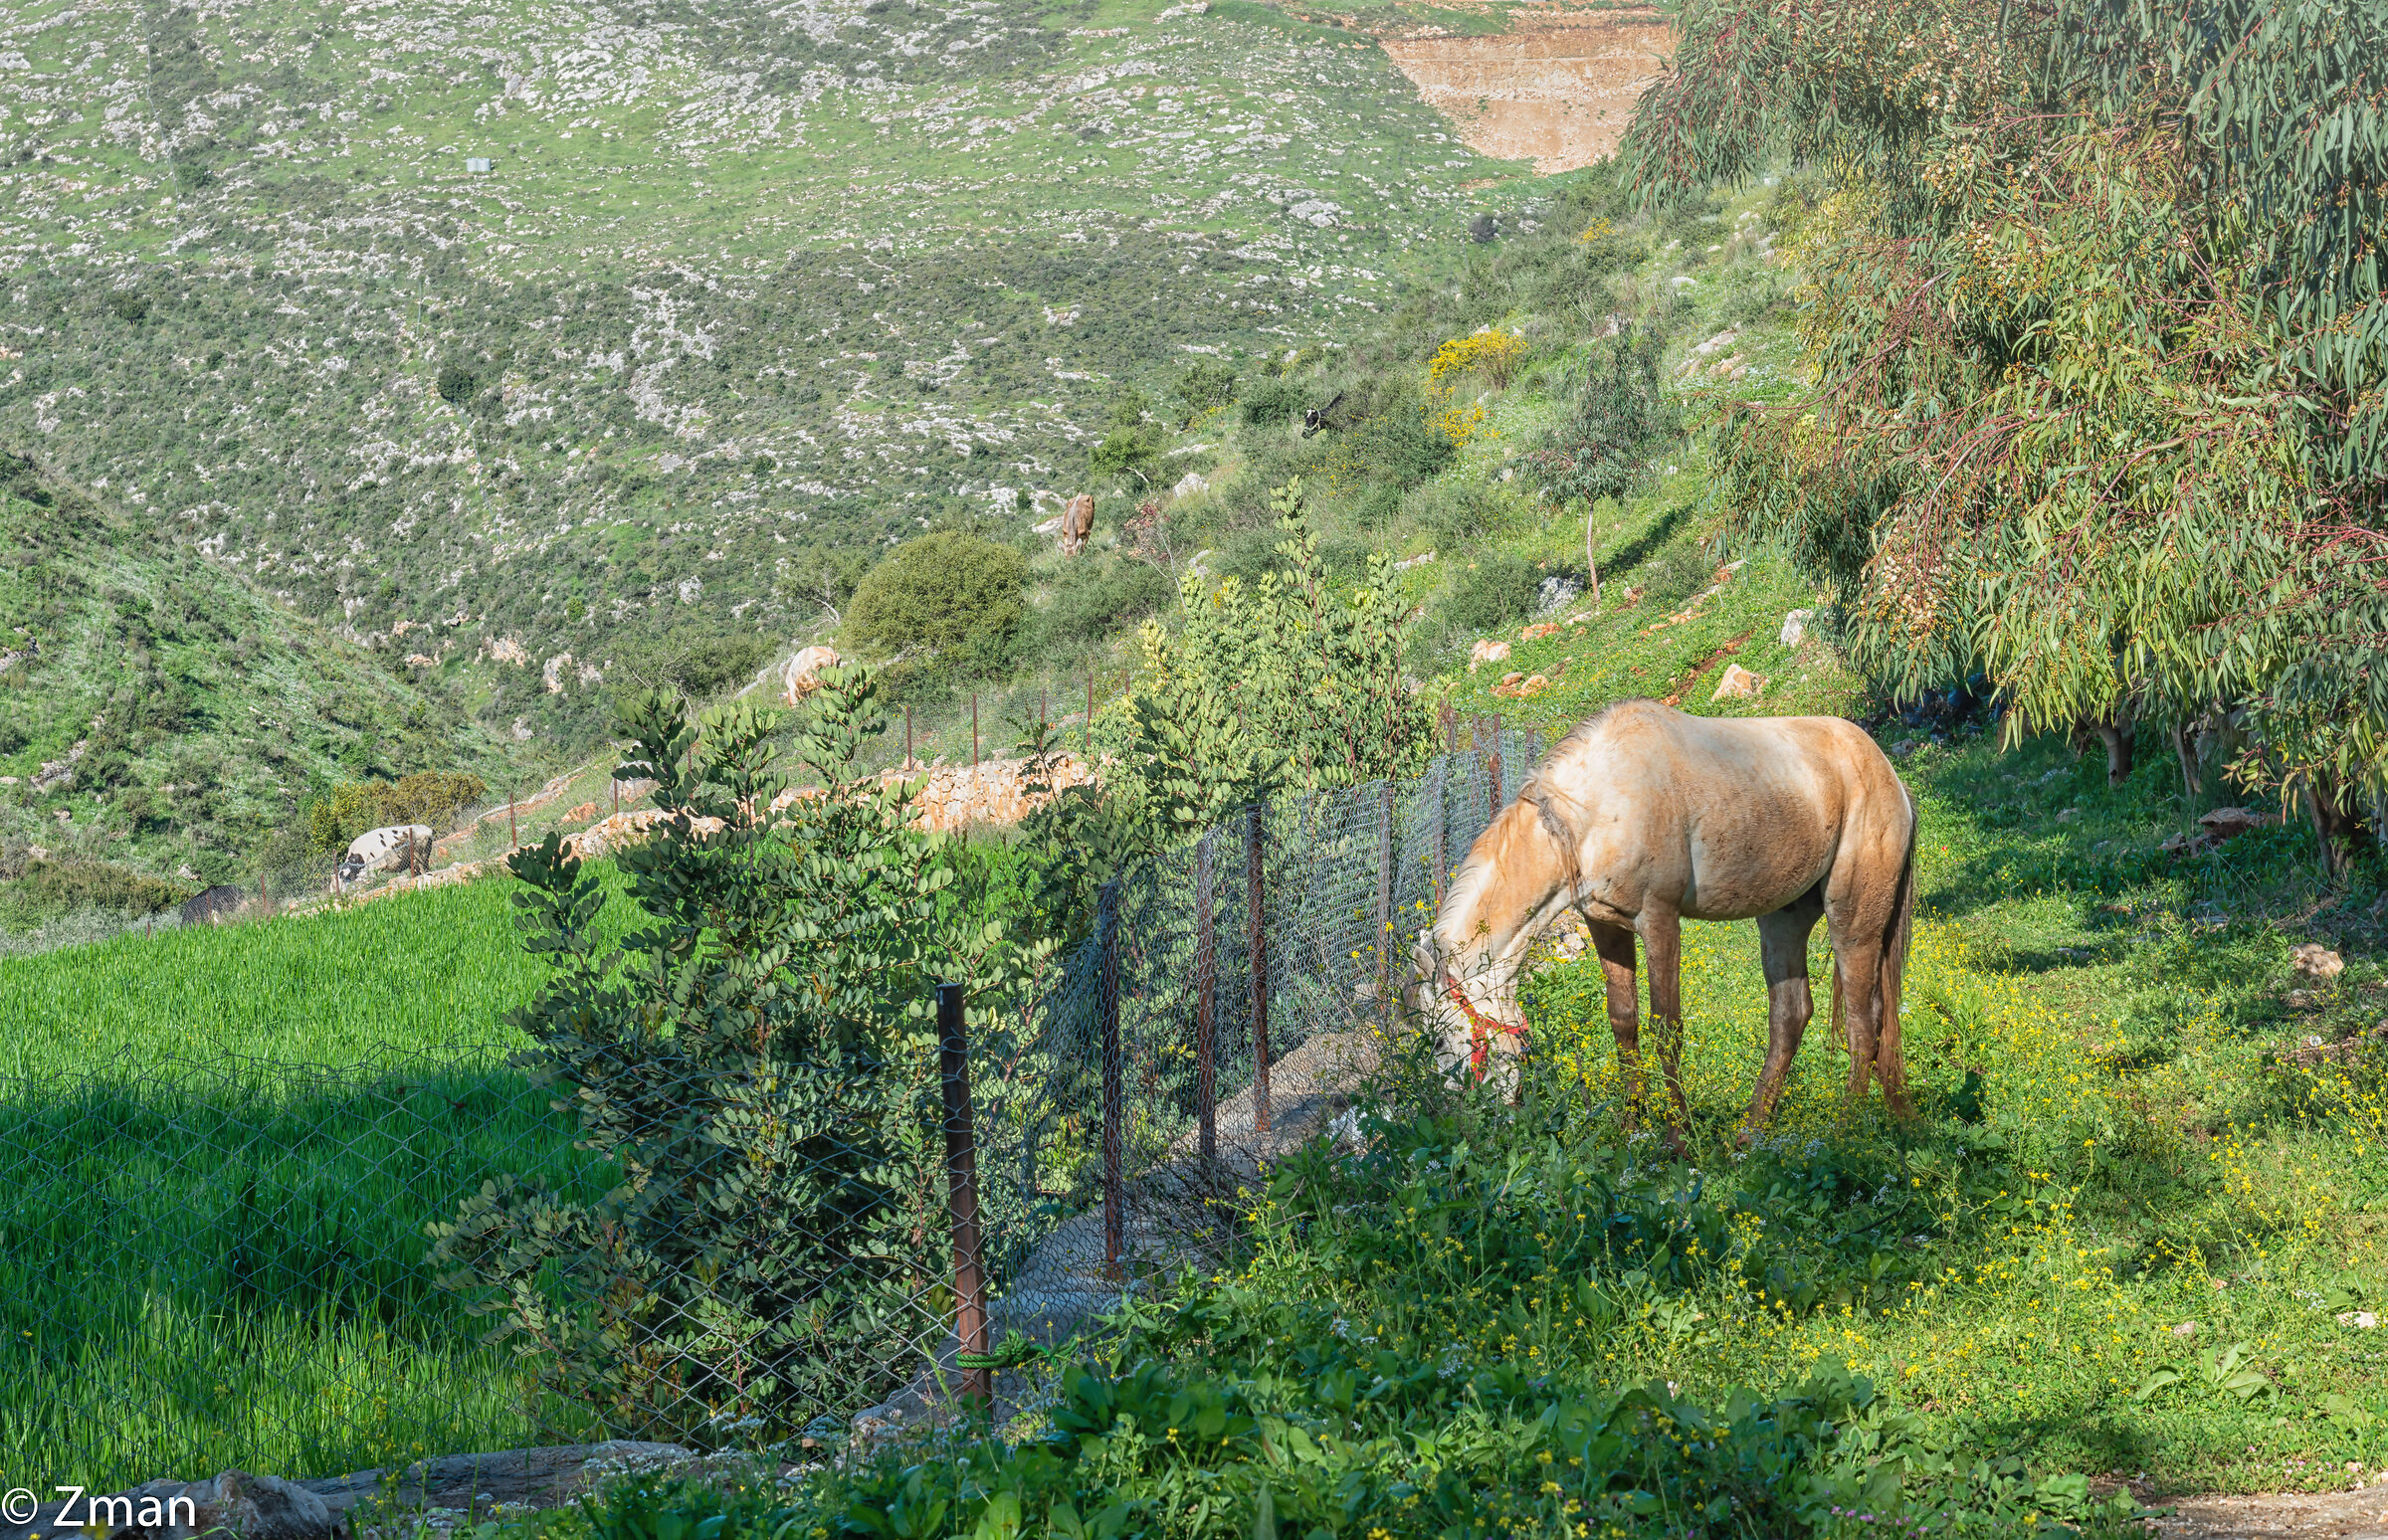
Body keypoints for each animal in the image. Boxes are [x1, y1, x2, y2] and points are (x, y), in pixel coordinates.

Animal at [1408, 699, 1917, 1147]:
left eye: (1442, 1042)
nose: (1458, 1123)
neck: (1594, 811)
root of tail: (1889, 774)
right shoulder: (1606, 926)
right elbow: (1624, 1023)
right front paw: (1631, 1129)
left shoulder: (1659, 921)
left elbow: (1665, 1031)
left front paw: (1678, 1139)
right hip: (1782, 919)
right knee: (1791, 1017)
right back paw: (1754, 1135)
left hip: (1853, 919)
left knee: (1862, 1024)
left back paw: (1846, 1133)